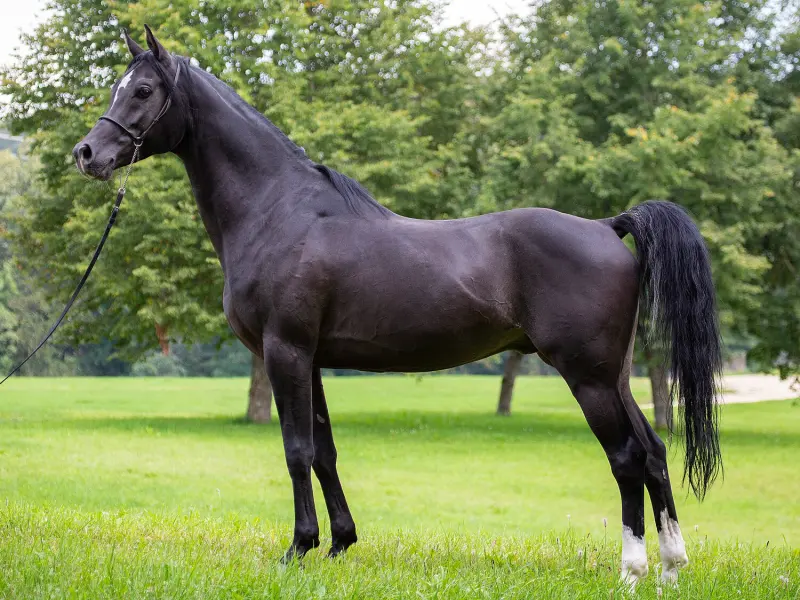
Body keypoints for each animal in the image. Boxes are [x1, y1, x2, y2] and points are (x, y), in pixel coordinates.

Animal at [72, 27, 722, 585]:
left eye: (143, 90)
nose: (86, 154)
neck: (280, 211)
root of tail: (607, 226)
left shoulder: (285, 351)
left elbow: (296, 450)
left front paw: (298, 548)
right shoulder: (310, 359)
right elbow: (325, 451)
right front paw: (339, 543)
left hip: (587, 376)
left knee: (626, 457)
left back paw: (632, 570)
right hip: (615, 374)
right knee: (655, 451)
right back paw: (670, 567)